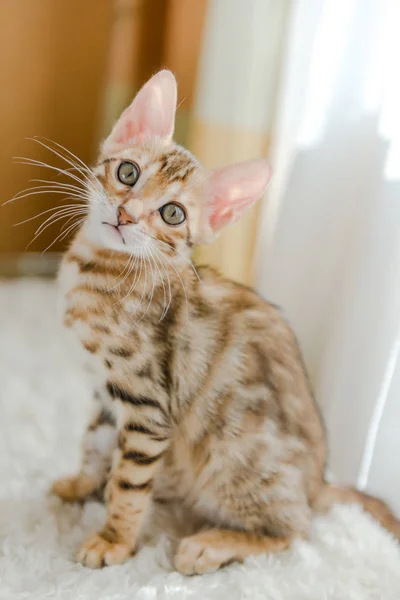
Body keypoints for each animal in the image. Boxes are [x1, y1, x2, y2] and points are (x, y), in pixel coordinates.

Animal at [51, 69, 398, 572]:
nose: (125, 215)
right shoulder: (104, 392)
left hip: (234, 458)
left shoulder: (147, 403)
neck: (103, 268)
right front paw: (82, 484)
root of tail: (317, 485)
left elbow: (130, 481)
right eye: (127, 172)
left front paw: (113, 539)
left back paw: (211, 544)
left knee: (297, 531)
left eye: (172, 213)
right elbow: (95, 443)